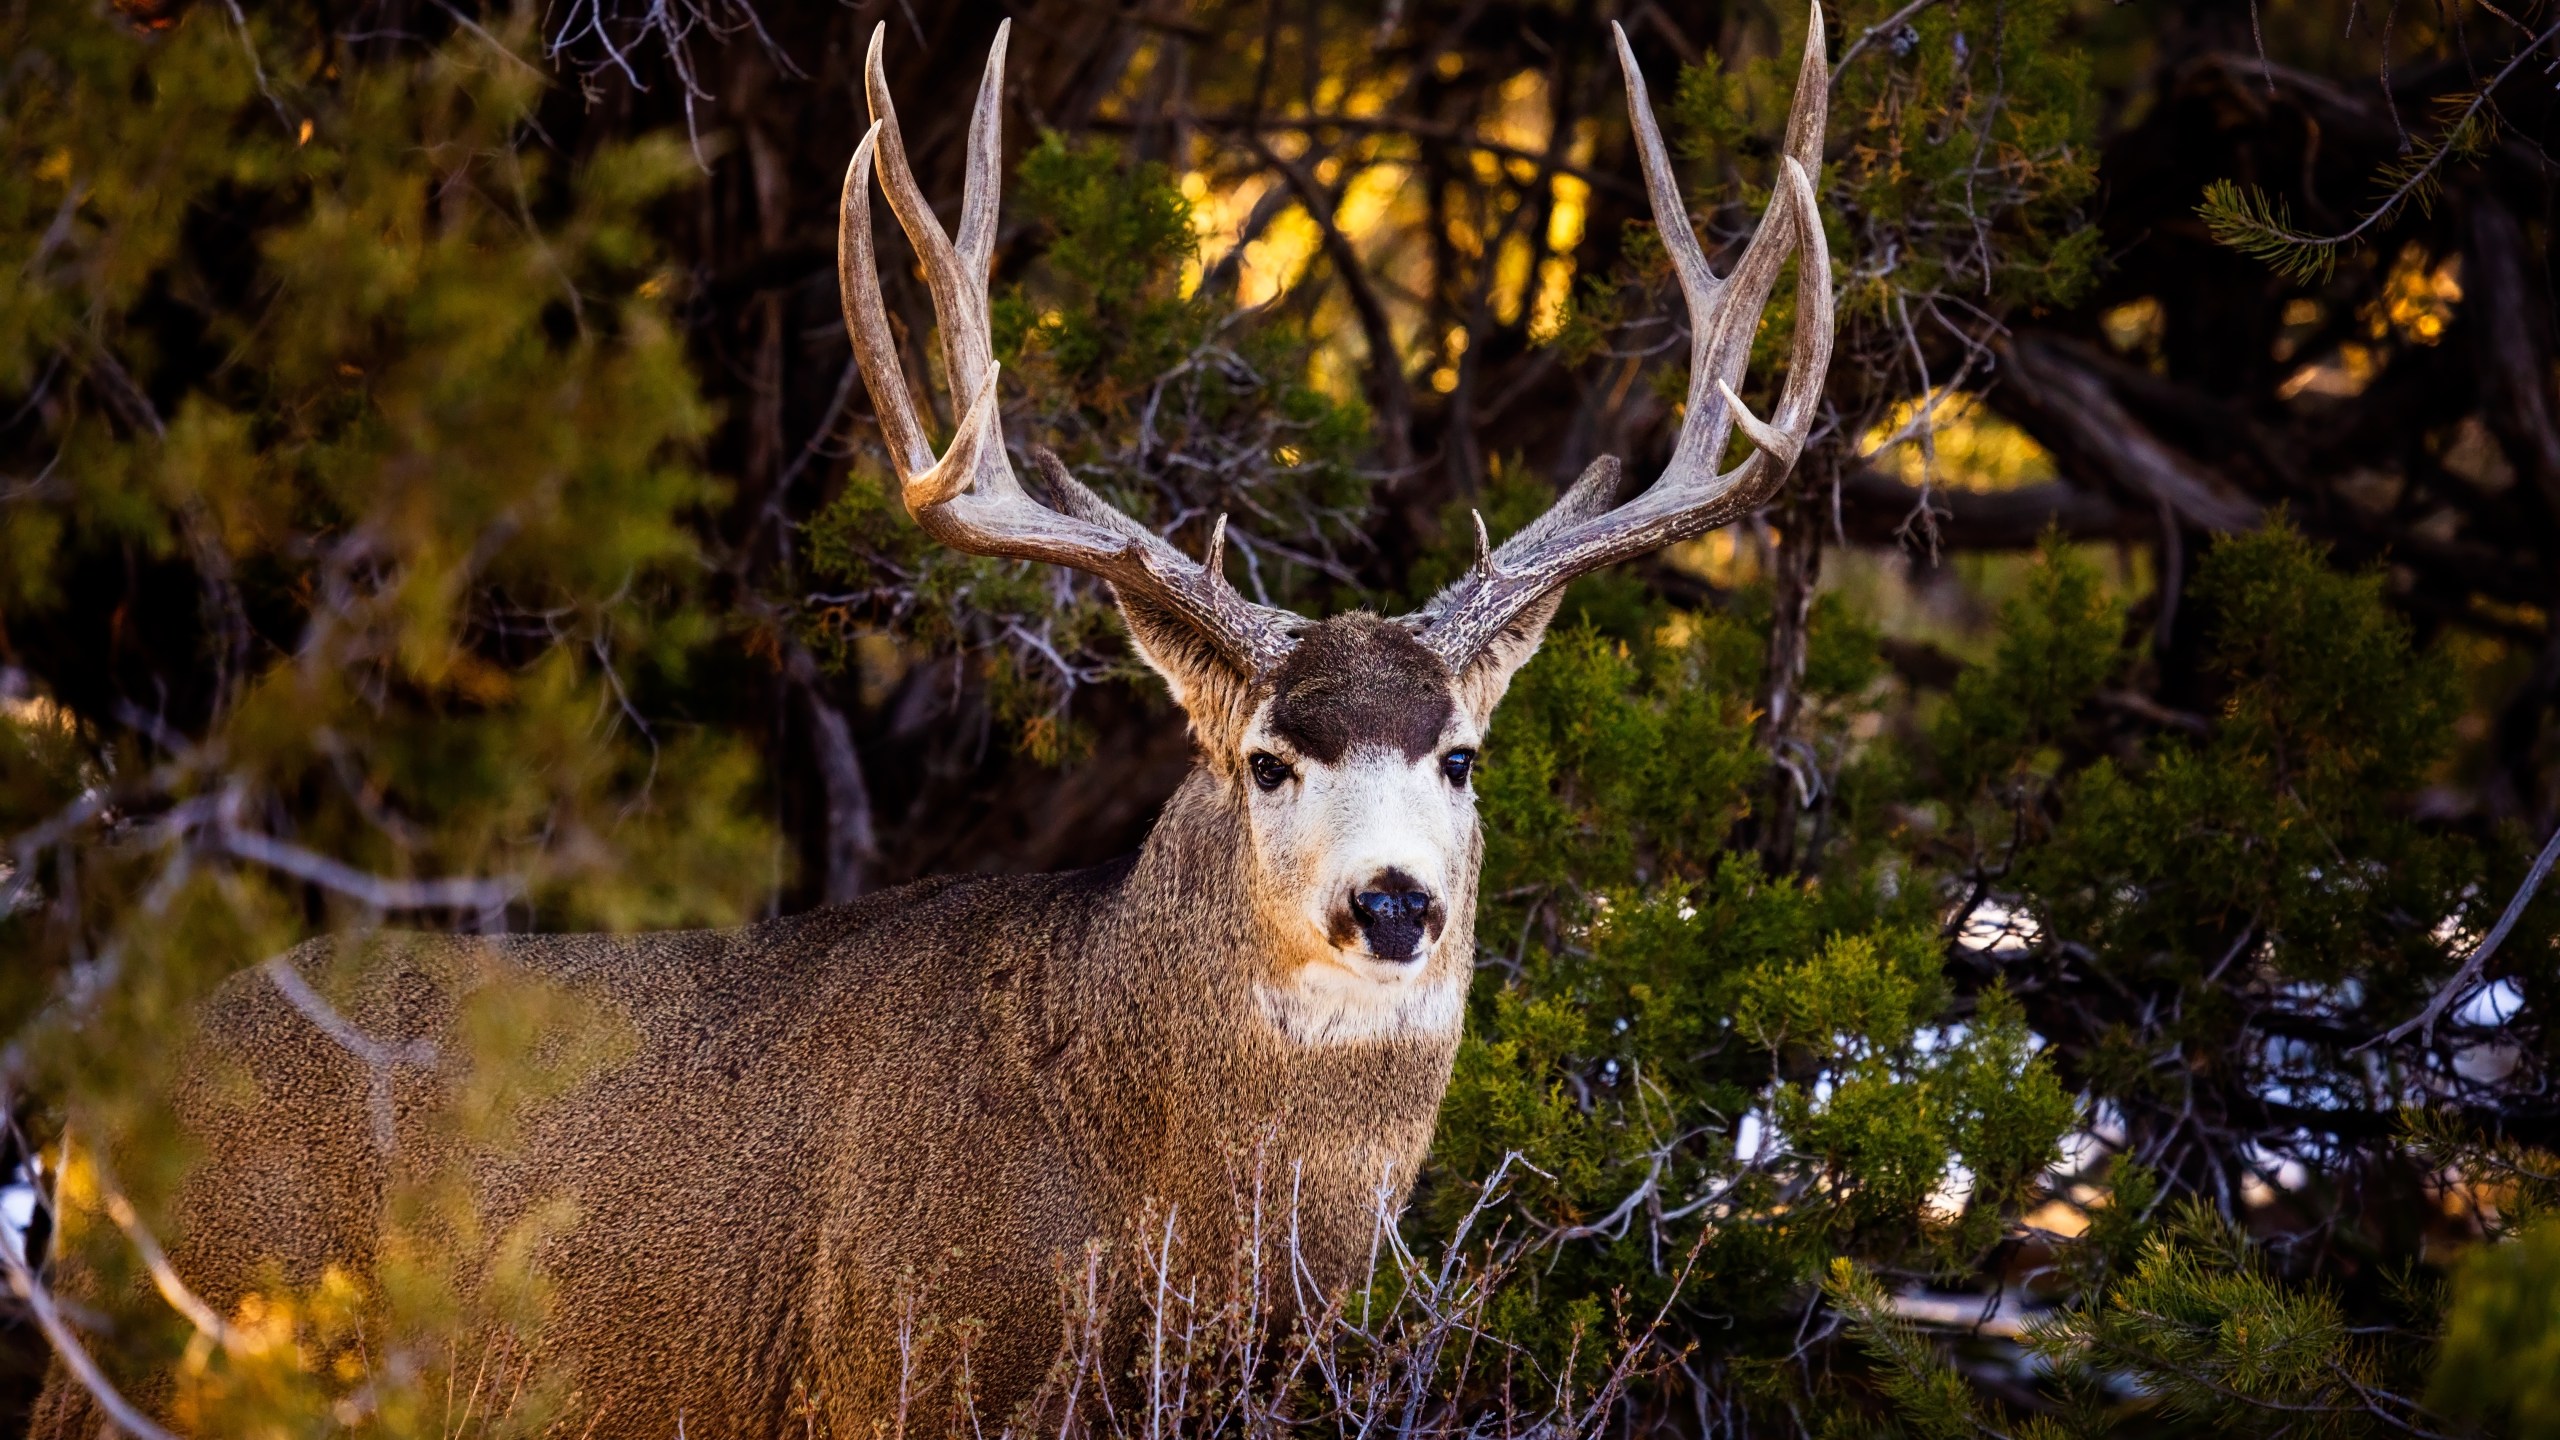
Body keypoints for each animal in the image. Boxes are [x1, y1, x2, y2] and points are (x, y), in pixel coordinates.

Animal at [20, 14, 1822, 1434]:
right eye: (1266, 760)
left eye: (1460, 756)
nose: (1392, 904)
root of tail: (105, 1107)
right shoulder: (901, 1367)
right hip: (174, 1349)